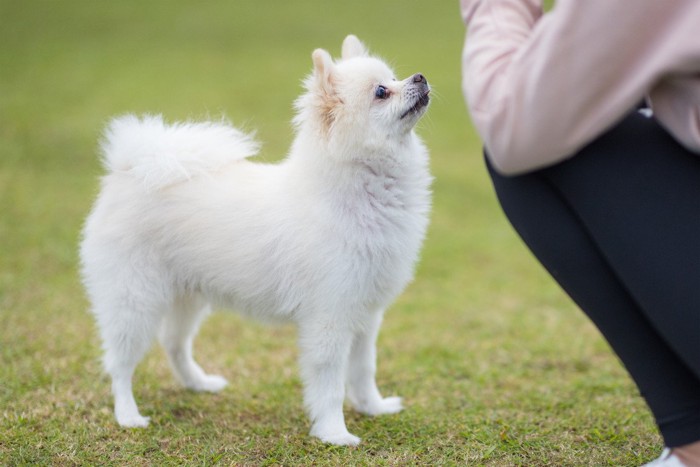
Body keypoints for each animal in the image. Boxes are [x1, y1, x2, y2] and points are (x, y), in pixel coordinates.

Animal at [82, 33, 432, 446]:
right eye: (381, 91)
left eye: (394, 77)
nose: (421, 76)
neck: (360, 193)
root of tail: (130, 169)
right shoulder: (330, 319)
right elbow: (330, 383)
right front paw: (334, 433)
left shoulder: (365, 313)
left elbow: (363, 369)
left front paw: (372, 408)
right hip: (133, 301)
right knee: (120, 364)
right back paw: (128, 415)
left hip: (188, 295)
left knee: (174, 343)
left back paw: (199, 384)